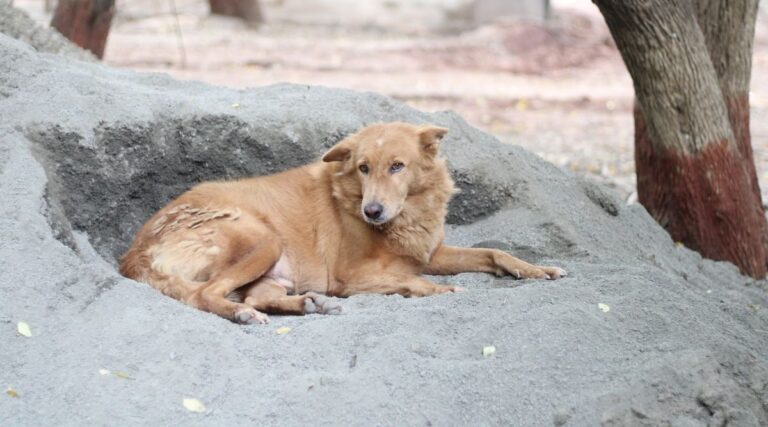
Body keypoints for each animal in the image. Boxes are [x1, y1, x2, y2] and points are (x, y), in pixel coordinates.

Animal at [118, 123, 564, 324]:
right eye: (363, 168)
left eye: (397, 166)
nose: (372, 212)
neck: (405, 216)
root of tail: (133, 253)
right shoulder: (350, 276)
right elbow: (411, 281)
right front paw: (440, 289)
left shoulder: (432, 252)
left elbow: (494, 252)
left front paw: (537, 268)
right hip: (264, 240)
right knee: (207, 295)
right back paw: (246, 314)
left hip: (273, 269)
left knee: (255, 297)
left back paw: (306, 303)